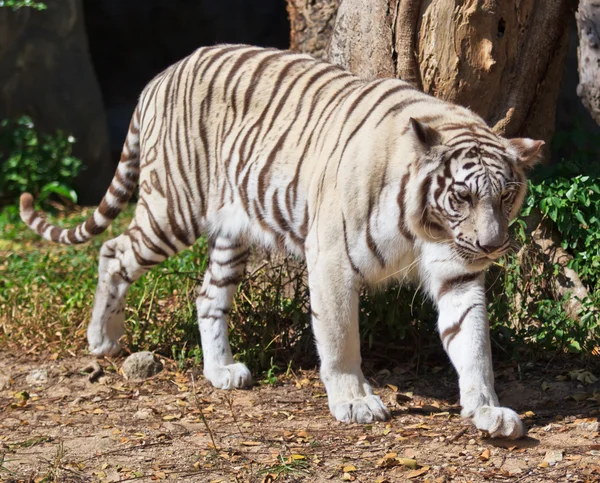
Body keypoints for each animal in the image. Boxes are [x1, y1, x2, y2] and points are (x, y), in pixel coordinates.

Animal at [19, 45, 544, 438]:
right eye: (461, 195)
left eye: (506, 194)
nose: (492, 246)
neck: (427, 225)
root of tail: (160, 76)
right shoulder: (331, 261)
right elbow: (340, 341)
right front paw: (354, 402)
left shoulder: (458, 272)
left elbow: (474, 344)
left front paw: (488, 411)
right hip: (171, 210)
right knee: (113, 252)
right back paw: (102, 339)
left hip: (230, 234)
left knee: (207, 295)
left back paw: (221, 372)